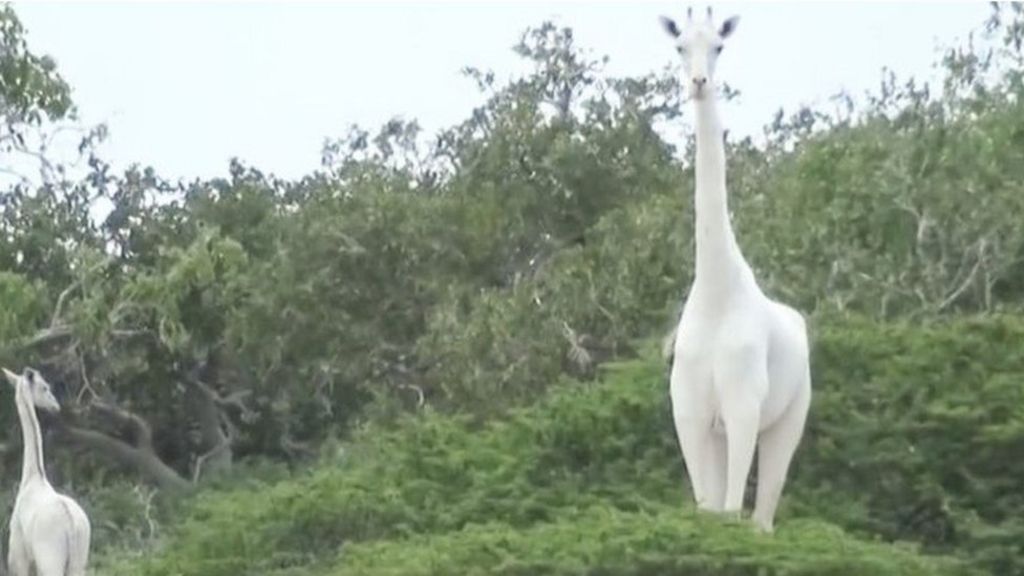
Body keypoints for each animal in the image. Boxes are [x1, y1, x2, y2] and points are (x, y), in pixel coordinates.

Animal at [4, 366, 90, 573]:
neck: (32, 477)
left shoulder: (18, 556)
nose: (56, 407)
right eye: (44, 387)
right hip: (78, 561)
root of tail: (71, 524)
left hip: (50, 559)